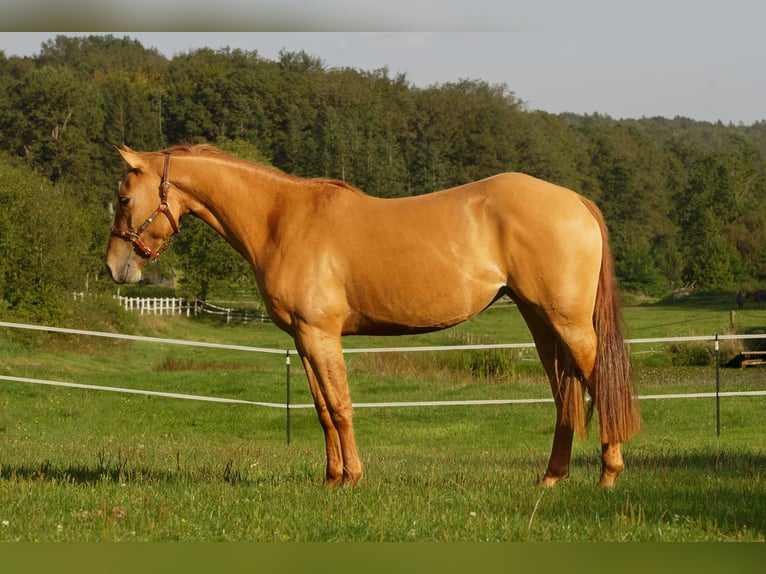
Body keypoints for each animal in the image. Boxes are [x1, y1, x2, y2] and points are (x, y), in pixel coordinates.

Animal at [103, 145, 640, 490]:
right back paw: (551, 478)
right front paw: (331, 480)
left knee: (599, 382)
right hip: (541, 323)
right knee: (565, 395)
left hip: (570, 324)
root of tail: (575, 200)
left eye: (125, 198)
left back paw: (608, 476)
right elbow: (322, 409)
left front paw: (353, 478)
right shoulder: (304, 339)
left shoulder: (321, 334)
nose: (114, 268)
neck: (282, 219)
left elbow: (341, 406)